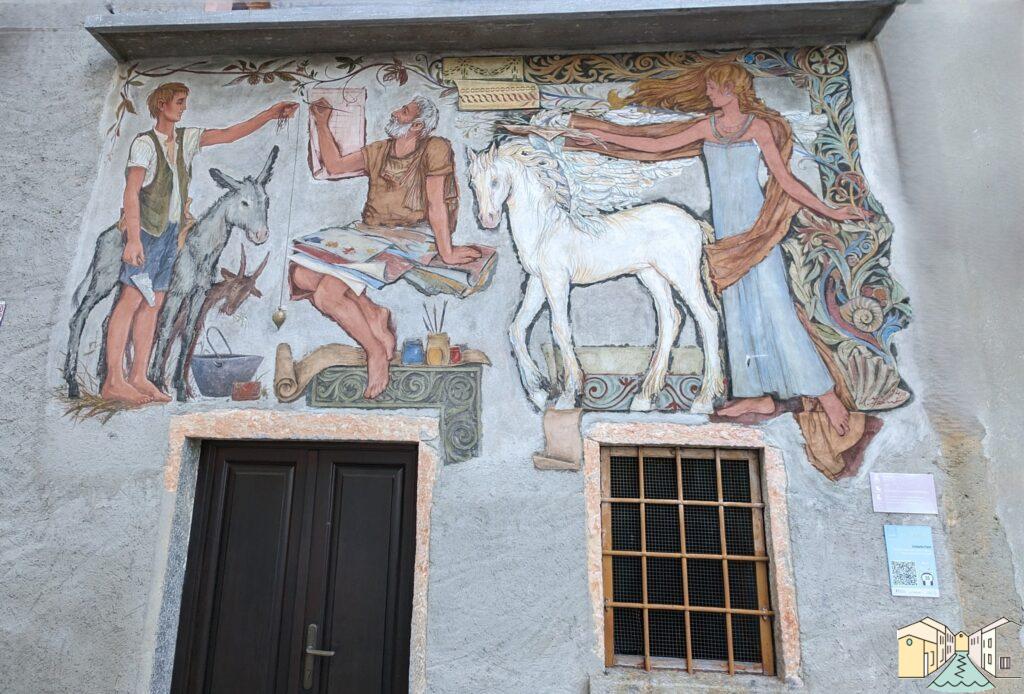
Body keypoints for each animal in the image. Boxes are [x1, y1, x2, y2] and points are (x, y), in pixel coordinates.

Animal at [468, 137, 724, 413]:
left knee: (707, 318)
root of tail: (695, 222)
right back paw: (644, 398)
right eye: (472, 182)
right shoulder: (537, 281)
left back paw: (702, 402)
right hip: (651, 275)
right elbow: (517, 327)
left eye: (495, 181)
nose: (487, 219)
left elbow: (560, 329)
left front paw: (568, 396)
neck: (545, 230)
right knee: (670, 318)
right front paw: (538, 392)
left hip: (681, 274)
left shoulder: (556, 281)